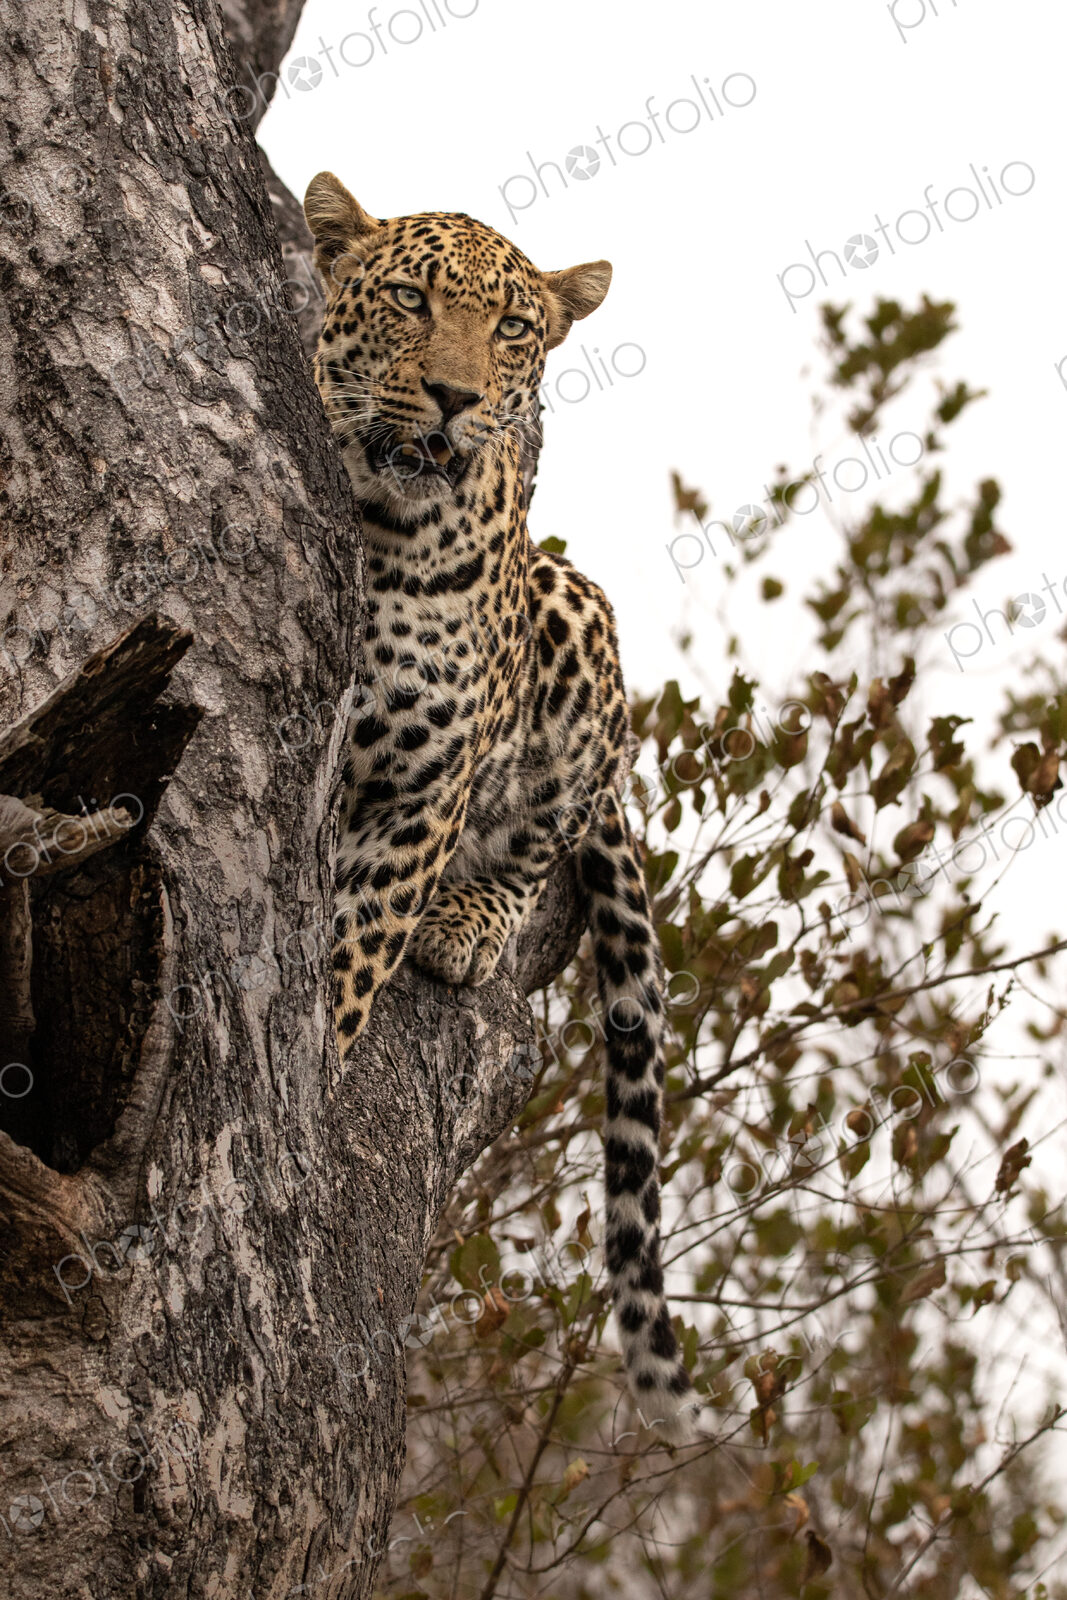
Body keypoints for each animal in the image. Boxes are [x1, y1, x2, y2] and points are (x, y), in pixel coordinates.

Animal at [303, 171, 695, 1437]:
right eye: (410, 301)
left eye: (515, 328)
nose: (454, 398)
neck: (385, 524)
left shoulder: (419, 793)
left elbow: (349, 961)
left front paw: (313, 1076)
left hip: (574, 614)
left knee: (546, 836)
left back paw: (468, 926)